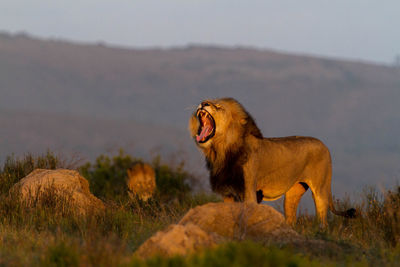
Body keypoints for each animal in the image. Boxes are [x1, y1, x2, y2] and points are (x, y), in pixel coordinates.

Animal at [189, 98, 354, 226]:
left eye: (219, 107)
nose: (203, 103)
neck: (222, 150)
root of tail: (324, 145)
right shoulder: (228, 194)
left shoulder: (249, 192)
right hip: (293, 194)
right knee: (291, 219)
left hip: (320, 190)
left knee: (323, 219)